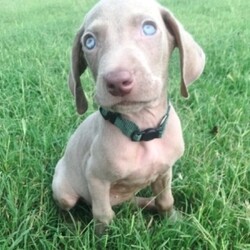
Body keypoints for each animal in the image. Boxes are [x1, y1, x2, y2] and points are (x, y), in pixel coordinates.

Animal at [52, 0, 205, 233]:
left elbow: (166, 200)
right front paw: (102, 237)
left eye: (149, 28)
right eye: (89, 41)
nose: (117, 81)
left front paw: (173, 222)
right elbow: (103, 215)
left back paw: (149, 204)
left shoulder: (164, 171)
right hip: (64, 190)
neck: (142, 129)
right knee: (73, 206)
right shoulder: (95, 178)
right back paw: (72, 225)